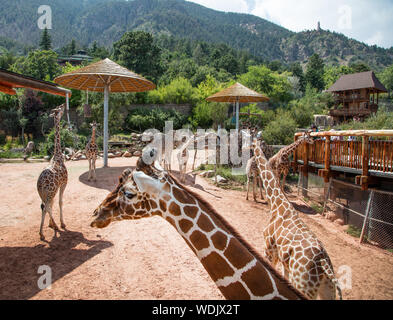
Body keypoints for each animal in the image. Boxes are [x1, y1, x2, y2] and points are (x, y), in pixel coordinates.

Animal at [251, 140, 340, 300]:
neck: (277, 204)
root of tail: (325, 265)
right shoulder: (283, 262)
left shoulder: (269, 249)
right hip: (327, 290)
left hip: (304, 286)